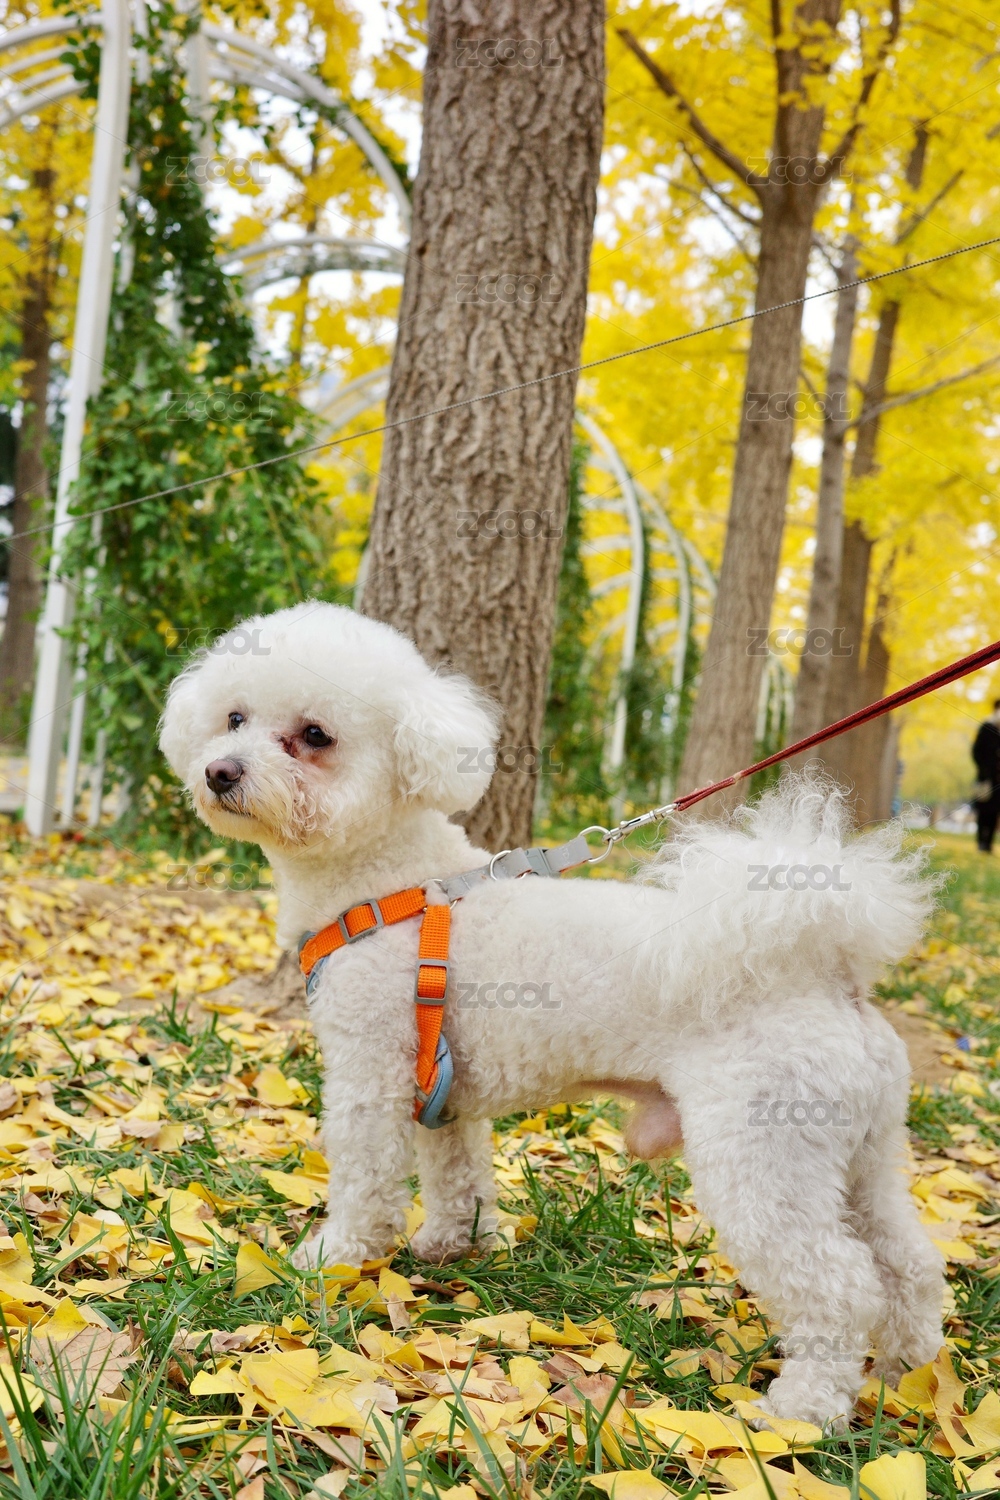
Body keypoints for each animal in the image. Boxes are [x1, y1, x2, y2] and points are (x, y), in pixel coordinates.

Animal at [159, 600, 945, 1428]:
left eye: (314, 735)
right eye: (234, 717)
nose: (220, 770)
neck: (391, 885)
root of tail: (830, 973)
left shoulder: (369, 1071)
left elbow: (365, 1180)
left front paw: (335, 1255)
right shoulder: (439, 1086)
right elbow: (456, 1171)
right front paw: (452, 1243)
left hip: (764, 1156)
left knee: (838, 1284)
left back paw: (802, 1409)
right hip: (862, 1153)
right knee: (908, 1262)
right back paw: (910, 1372)